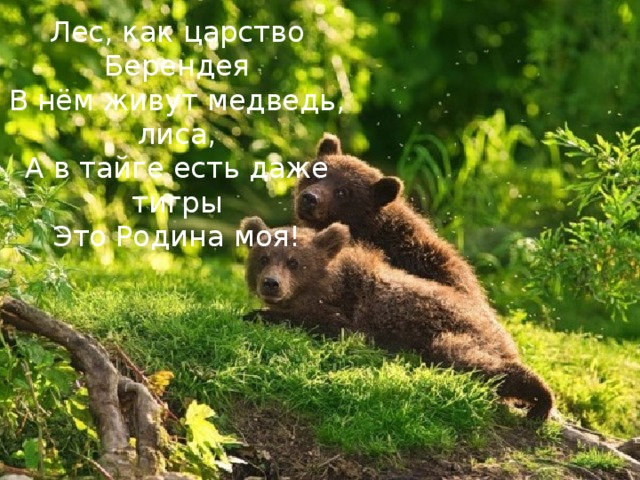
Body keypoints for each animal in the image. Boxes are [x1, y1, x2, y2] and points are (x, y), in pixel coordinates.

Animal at [240, 216, 555, 420]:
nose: (271, 283)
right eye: (263, 257)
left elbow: (322, 322)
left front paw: (255, 314)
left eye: (294, 261)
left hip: (456, 332)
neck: (328, 285)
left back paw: (540, 399)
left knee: (472, 359)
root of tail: (502, 331)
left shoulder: (350, 315)